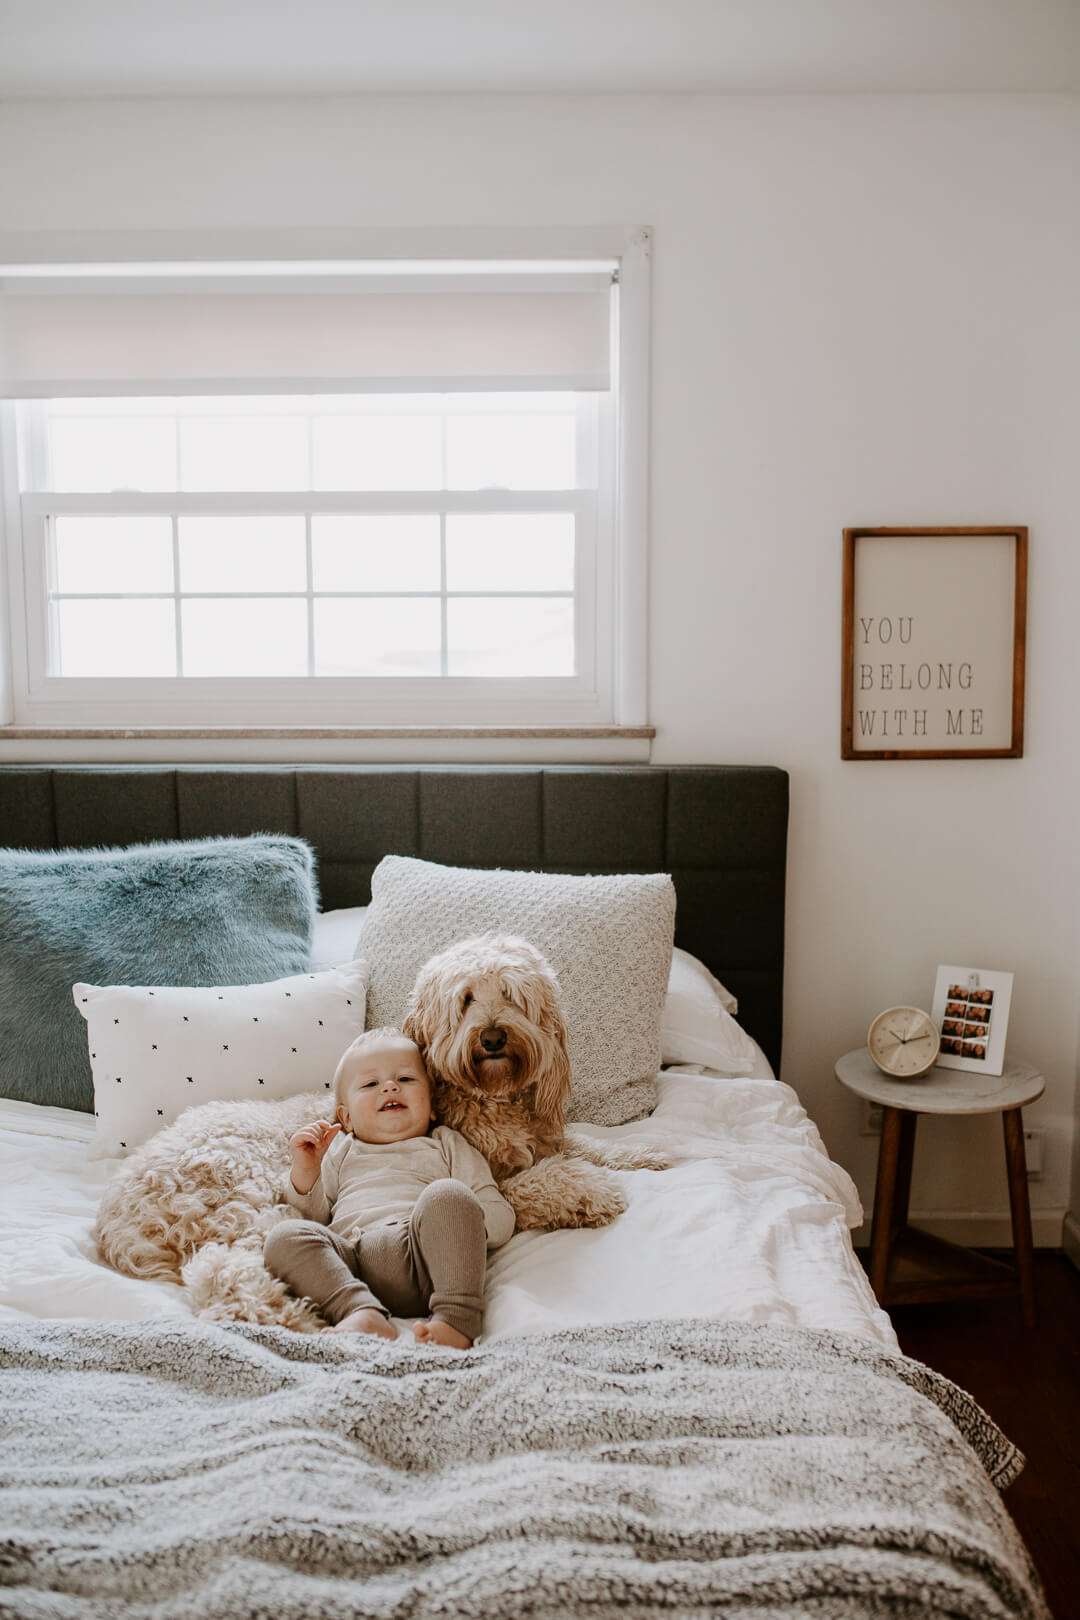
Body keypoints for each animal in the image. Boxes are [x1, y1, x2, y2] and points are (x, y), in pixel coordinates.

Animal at [401, 926, 663, 1224]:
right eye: (466, 999)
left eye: (509, 994)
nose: (493, 1038)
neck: (496, 1097)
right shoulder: (496, 1186)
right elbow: (543, 1178)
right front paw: (596, 1190)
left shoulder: (549, 1140)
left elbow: (592, 1146)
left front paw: (639, 1155)